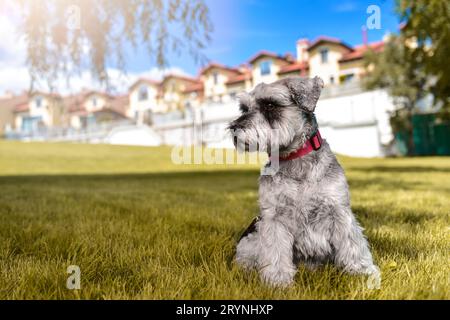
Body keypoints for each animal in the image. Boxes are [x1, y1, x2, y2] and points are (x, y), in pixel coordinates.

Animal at [229, 76, 380, 286]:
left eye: (270, 104)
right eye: (244, 108)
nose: (234, 128)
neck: (295, 160)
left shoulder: (339, 210)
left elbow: (352, 245)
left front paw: (362, 273)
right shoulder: (274, 218)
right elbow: (275, 252)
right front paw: (277, 281)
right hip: (250, 239)